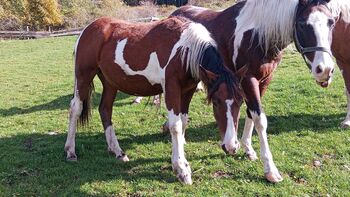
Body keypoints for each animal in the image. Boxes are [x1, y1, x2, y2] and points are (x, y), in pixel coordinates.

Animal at [63, 16, 241, 185]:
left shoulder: (188, 90)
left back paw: (117, 151)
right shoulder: (171, 88)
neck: (184, 49)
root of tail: (88, 28)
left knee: (105, 109)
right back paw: (71, 151)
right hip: (84, 76)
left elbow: (183, 121)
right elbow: (175, 126)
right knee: (75, 109)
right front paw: (181, 168)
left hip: (110, 82)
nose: (232, 146)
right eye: (216, 102)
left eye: (241, 101)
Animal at [172, 0, 336, 182]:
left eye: (331, 22)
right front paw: (271, 170)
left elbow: (251, 113)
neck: (258, 36)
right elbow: (260, 120)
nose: (325, 70)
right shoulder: (248, 80)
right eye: (302, 24)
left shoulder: (264, 81)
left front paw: (248, 149)